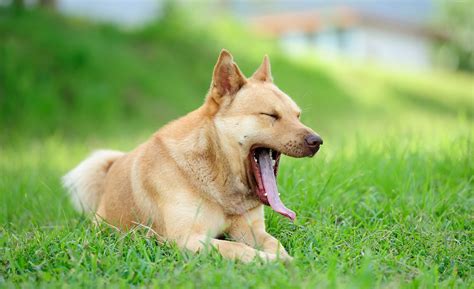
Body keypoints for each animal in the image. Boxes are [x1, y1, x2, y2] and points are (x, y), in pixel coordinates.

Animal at [63, 50, 322, 262]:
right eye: (270, 115)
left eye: (297, 116)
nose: (317, 141)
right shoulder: (186, 238)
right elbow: (237, 249)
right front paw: (272, 262)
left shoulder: (251, 230)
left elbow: (273, 243)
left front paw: (283, 257)